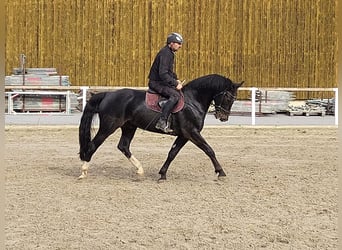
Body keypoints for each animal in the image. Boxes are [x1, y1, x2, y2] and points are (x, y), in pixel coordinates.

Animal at [78, 73, 243, 180]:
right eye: (228, 97)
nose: (223, 117)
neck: (193, 100)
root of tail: (107, 94)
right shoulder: (191, 133)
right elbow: (209, 150)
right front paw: (220, 172)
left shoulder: (183, 135)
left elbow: (172, 153)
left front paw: (162, 174)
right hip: (109, 127)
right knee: (93, 145)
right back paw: (83, 171)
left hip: (129, 127)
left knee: (123, 146)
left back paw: (140, 170)